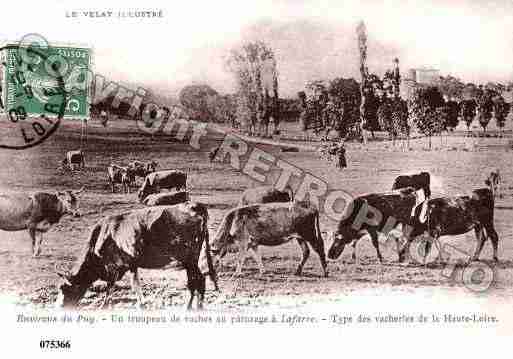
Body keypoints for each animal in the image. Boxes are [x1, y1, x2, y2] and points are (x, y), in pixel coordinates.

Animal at [55, 204, 217, 310]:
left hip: (190, 259)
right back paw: (195, 307)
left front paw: (104, 306)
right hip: (191, 260)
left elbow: (110, 288)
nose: (59, 307)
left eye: (63, 288)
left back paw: (191, 307)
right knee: (197, 281)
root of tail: (196, 206)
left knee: (197, 280)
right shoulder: (131, 264)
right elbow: (135, 285)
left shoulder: (113, 267)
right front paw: (141, 303)